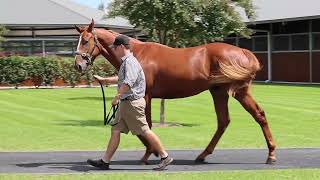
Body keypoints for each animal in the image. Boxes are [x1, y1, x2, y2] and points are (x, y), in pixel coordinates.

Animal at [74, 20, 276, 165]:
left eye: (86, 41)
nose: (78, 66)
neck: (137, 54)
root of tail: (243, 52)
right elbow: (143, 128)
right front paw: (153, 153)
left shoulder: (146, 95)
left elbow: (146, 127)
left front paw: (151, 154)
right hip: (219, 92)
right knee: (224, 121)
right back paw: (203, 155)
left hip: (238, 91)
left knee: (257, 115)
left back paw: (271, 155)